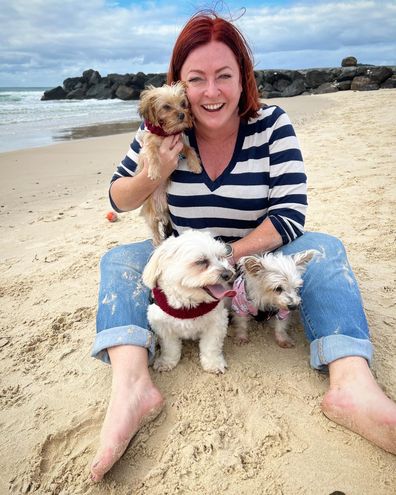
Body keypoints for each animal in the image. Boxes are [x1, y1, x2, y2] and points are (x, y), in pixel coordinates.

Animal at [142, 231, 235, 374]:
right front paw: (166, 362)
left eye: (220, 257)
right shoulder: (162, 326)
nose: (228, 273)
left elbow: (211, 346)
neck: (189, 305)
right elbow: (170, 347)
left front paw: (213, 363)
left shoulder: (216, 323)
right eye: (201, 261)